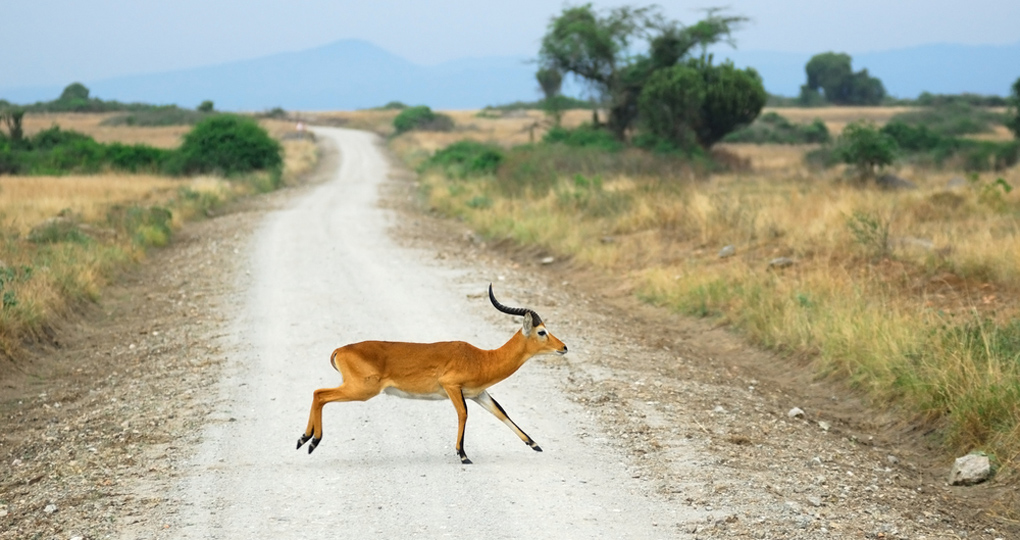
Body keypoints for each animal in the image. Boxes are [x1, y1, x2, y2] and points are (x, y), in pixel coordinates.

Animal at [296, 284, 568, 464]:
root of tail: (341, 349)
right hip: (362, 389)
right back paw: (311, 441)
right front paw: (463, 455)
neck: (483, 358)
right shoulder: (452, 387)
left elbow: (501, 413)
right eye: (542, 331)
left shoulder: (478, 393)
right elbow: (463, 414)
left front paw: (534, 444)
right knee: (320, 394)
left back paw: (304, 439)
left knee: (317, 393)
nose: (564, 347)